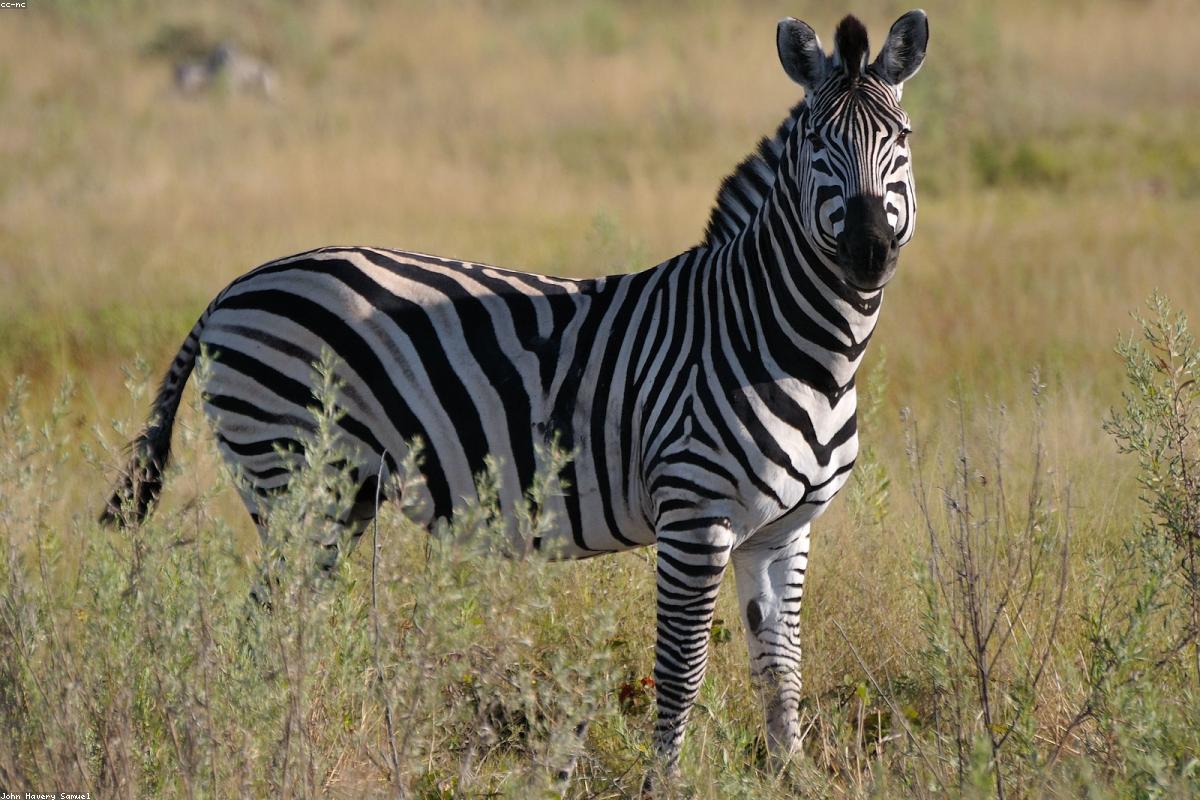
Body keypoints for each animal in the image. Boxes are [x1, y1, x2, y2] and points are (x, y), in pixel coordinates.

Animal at [103, 10, 929, 781]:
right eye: (816, 142)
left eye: (903, 137)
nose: (868, 253)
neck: (788, 343)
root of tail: (232, 290)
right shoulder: (695, 517)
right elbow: (681, 672)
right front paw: (664, 781)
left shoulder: (783, 530)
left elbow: (780, 673)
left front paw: (793, 775)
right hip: (293, 478)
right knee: (268, 625)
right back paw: (269, 747)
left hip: (335, 497)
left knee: (282, 622)